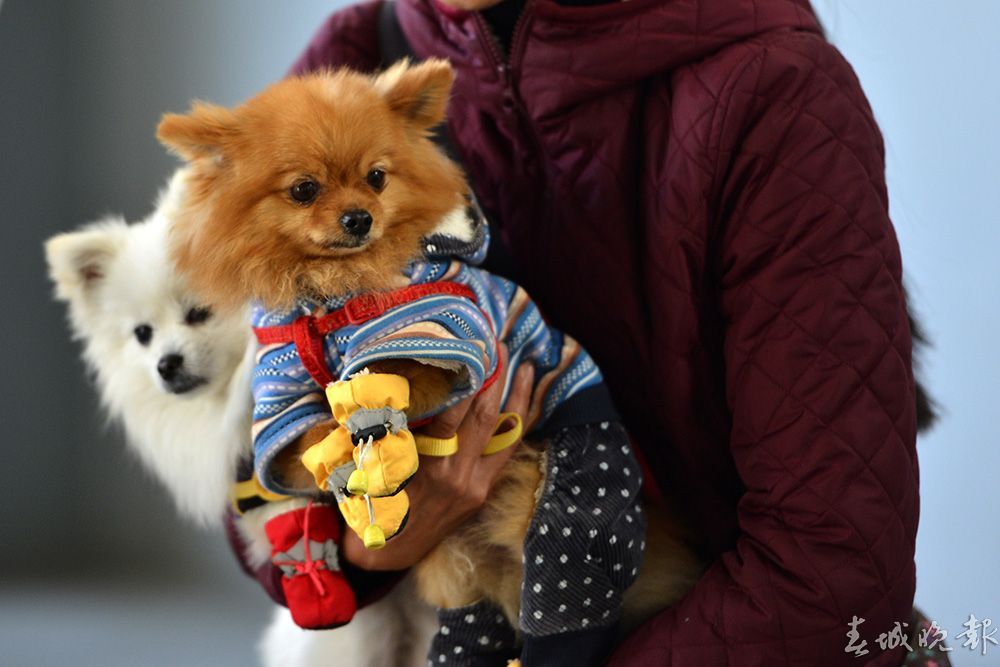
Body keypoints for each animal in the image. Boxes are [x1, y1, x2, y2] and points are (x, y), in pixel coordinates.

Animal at [158, 60, 704, 664]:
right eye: (304, 189)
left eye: (377, 178)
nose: (358, 218)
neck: (329, 297)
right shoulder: (283, 387)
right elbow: (304, 437)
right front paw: (336, 458)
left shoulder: (445, 323)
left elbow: (404, 371)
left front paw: (375, 420)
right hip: (452, 561)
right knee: (473, 610)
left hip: (579, 486)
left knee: (566, 581)